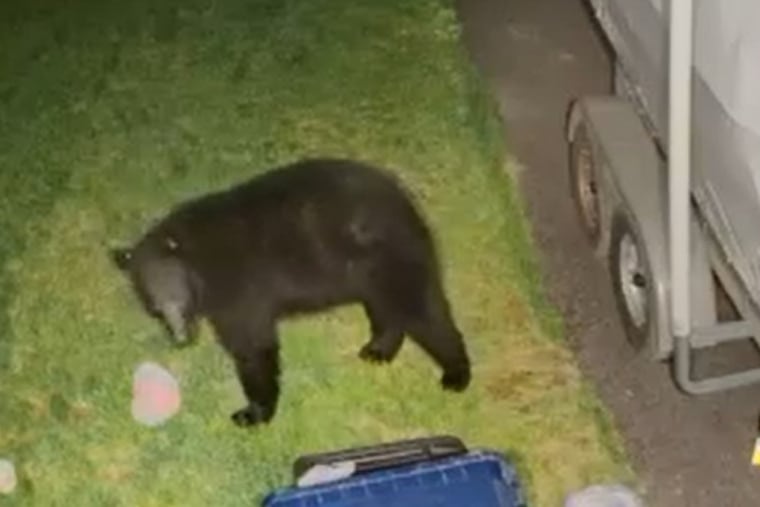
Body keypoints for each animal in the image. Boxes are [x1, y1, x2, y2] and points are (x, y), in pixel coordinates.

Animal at [111, 157, 471, 428]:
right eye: (155, 308)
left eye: (176, 298)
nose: (181, 339)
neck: (201, 262)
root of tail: (402, 197)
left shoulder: (241, 287)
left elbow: (253, 346)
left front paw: (252, 413)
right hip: (368, 273)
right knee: (387, 308)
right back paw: (378, 349)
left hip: (390, 256)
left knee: (423, 310)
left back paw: (455, 374)